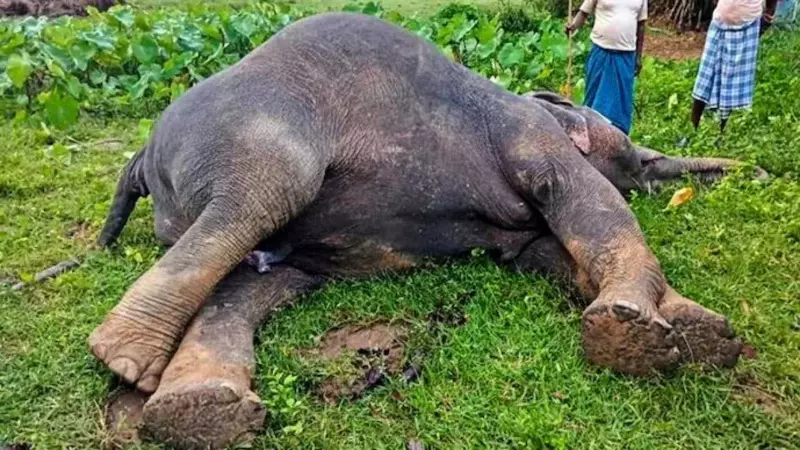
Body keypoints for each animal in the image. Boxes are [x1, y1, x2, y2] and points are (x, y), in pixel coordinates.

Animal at [91, 12, 762, 448]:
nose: (756, 171)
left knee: (255, 282)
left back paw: (197, 410)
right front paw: (639, 331)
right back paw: (127, 359)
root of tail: (142, 155)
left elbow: (548, 250)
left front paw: (693, 336)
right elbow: (589, 203)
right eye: (640, 164)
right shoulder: (526, 131)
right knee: (258, 201)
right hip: (252, 135)